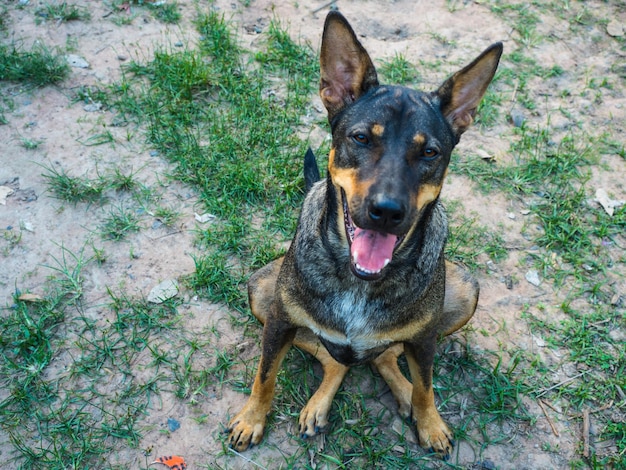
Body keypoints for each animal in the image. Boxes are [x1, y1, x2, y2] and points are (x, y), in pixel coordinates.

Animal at [227, 11, 500, 458]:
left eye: (430, 152)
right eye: (360, 137)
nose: (386, 212)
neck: (359, 281)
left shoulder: (425, 338)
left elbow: (426, 386)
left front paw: (429, 422)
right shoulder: (280, 320)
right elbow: (264, 375)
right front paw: (251, 419)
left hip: (463, 292)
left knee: (384, 355)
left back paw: (402, 393)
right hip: (262, 292)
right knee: (336, 358)